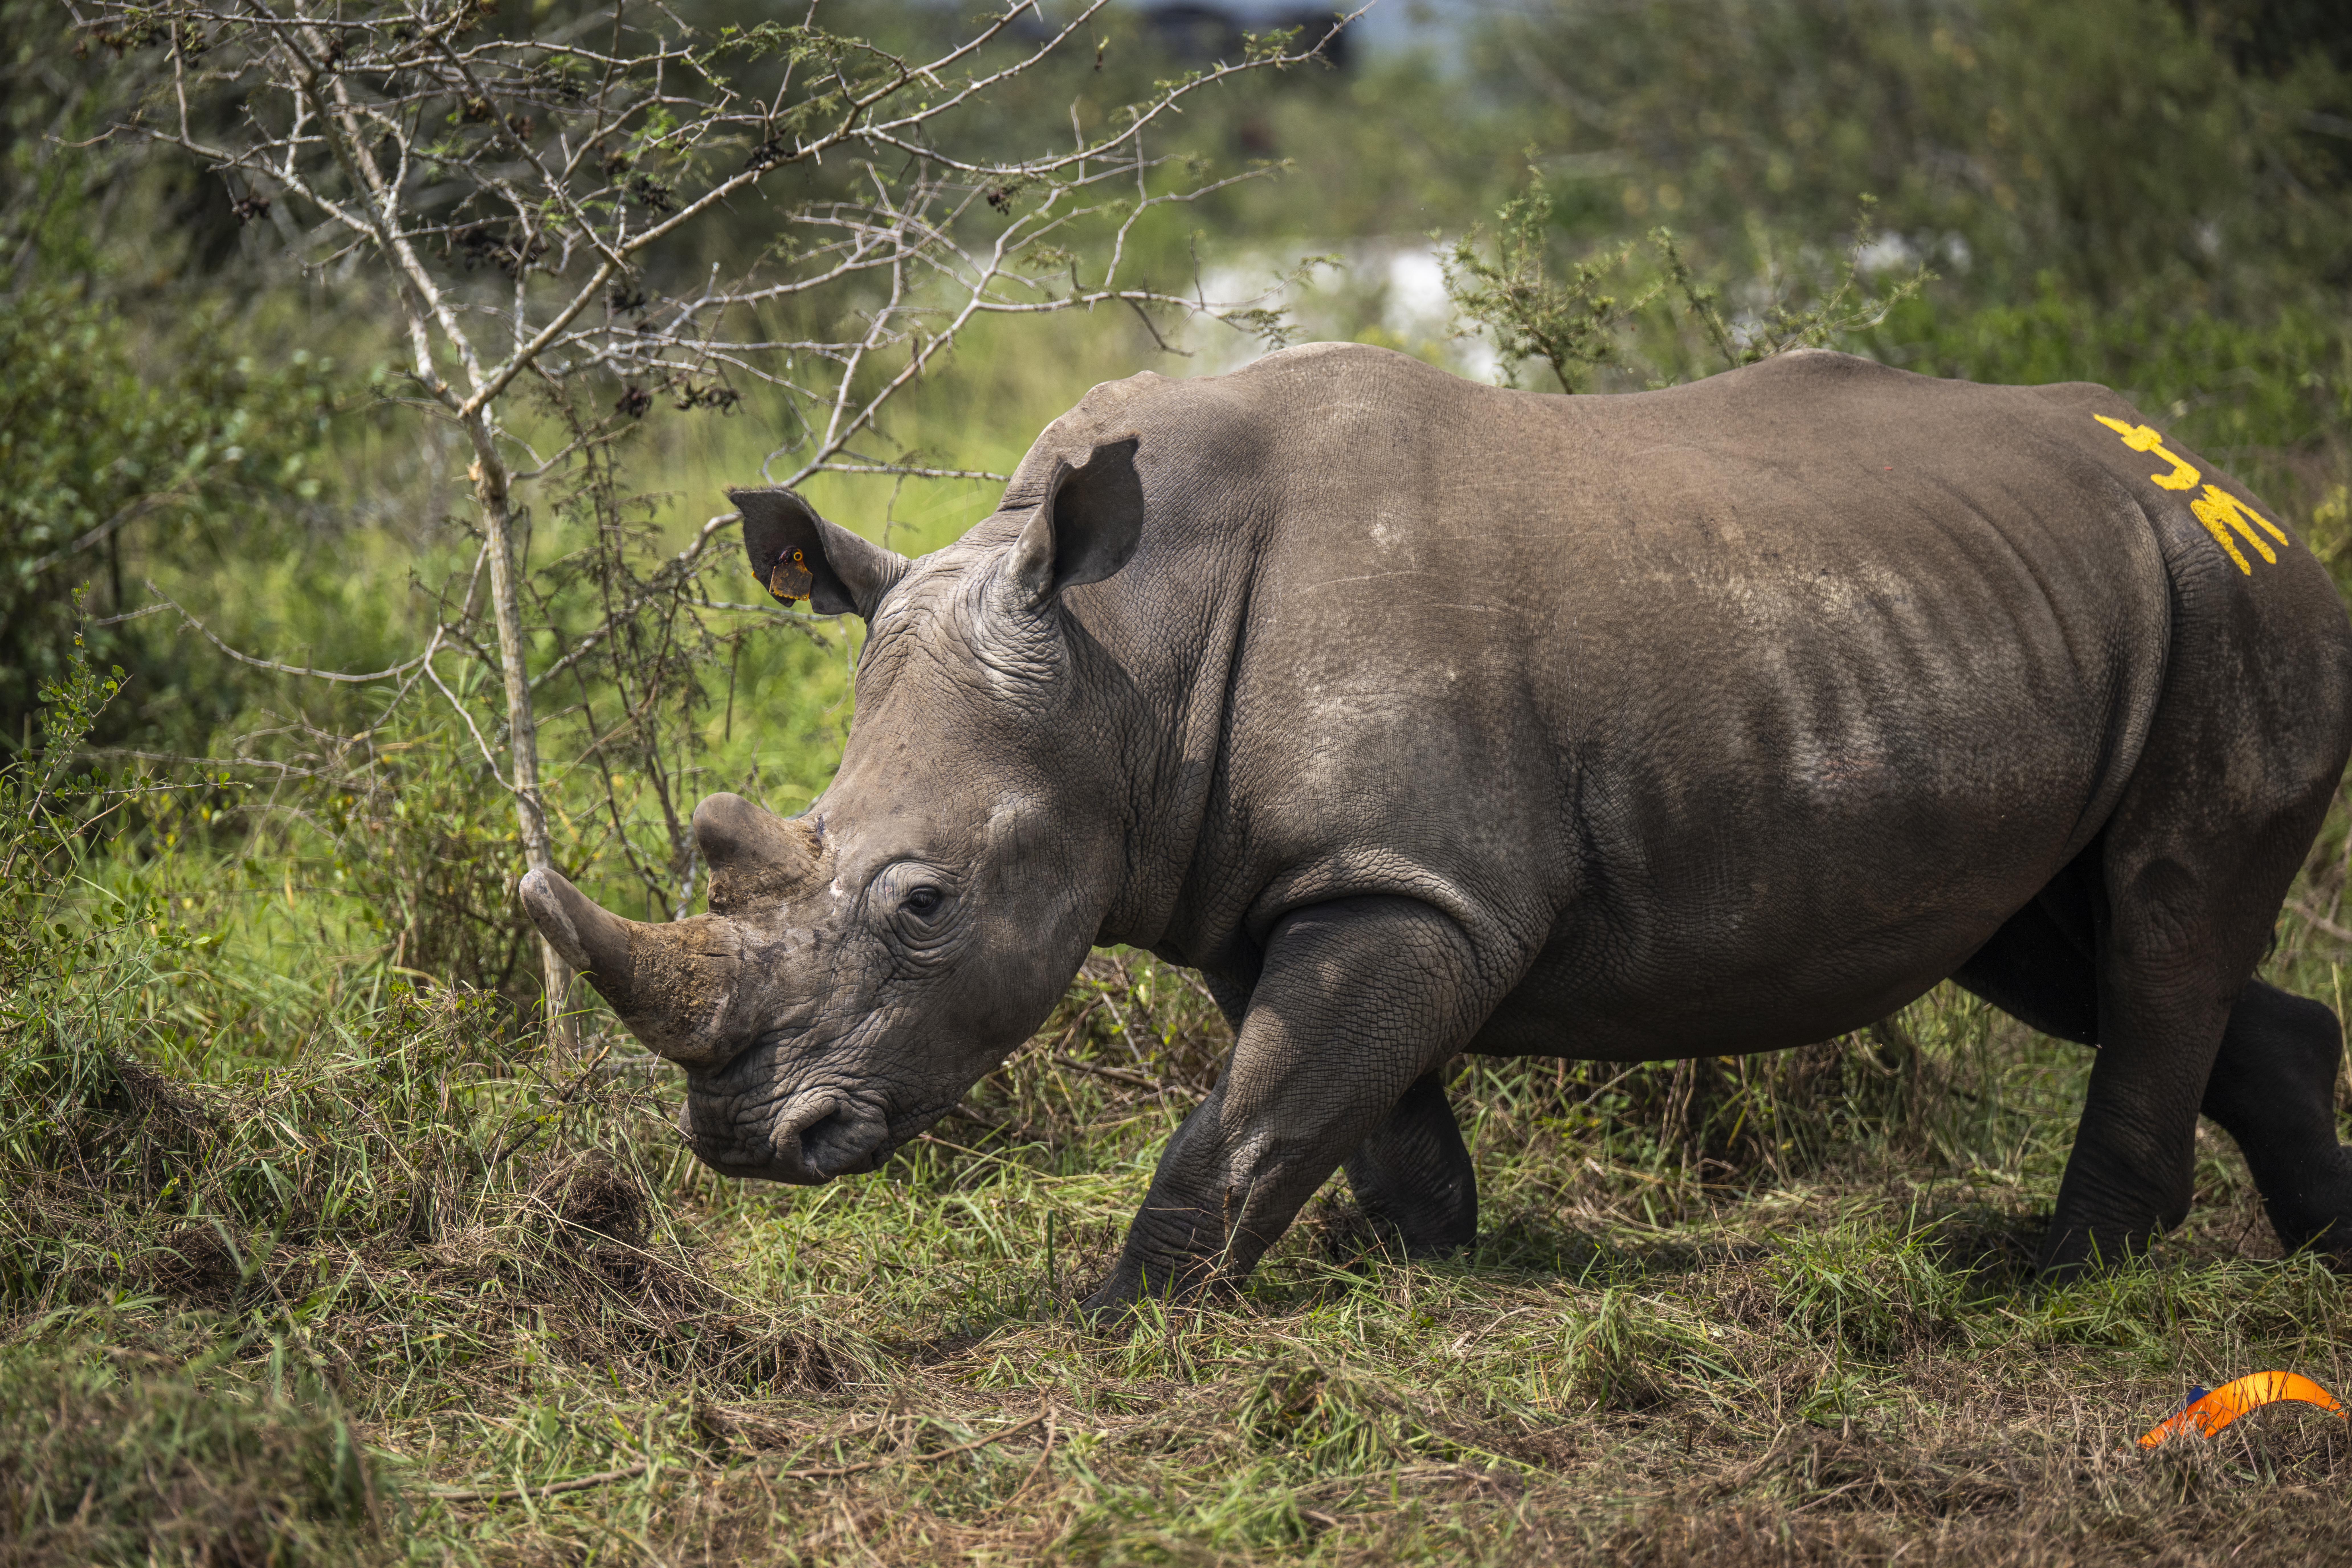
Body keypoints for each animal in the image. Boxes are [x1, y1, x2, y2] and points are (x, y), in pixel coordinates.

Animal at [522, 343, 2352, 1304]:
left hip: (2223, 598)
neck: (1122, 650)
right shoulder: (1303, 877)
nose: (745, 1140)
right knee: (2053, 935)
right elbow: (1346, 1096)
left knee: (2161, 910)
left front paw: (1121, 1317)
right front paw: (1415, 1265)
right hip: (2041, 613)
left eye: (922, 902)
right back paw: (2319, 1251)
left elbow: (1255, 1107)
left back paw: (2055, 1274)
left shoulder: (1415, 885)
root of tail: (2238, 485)